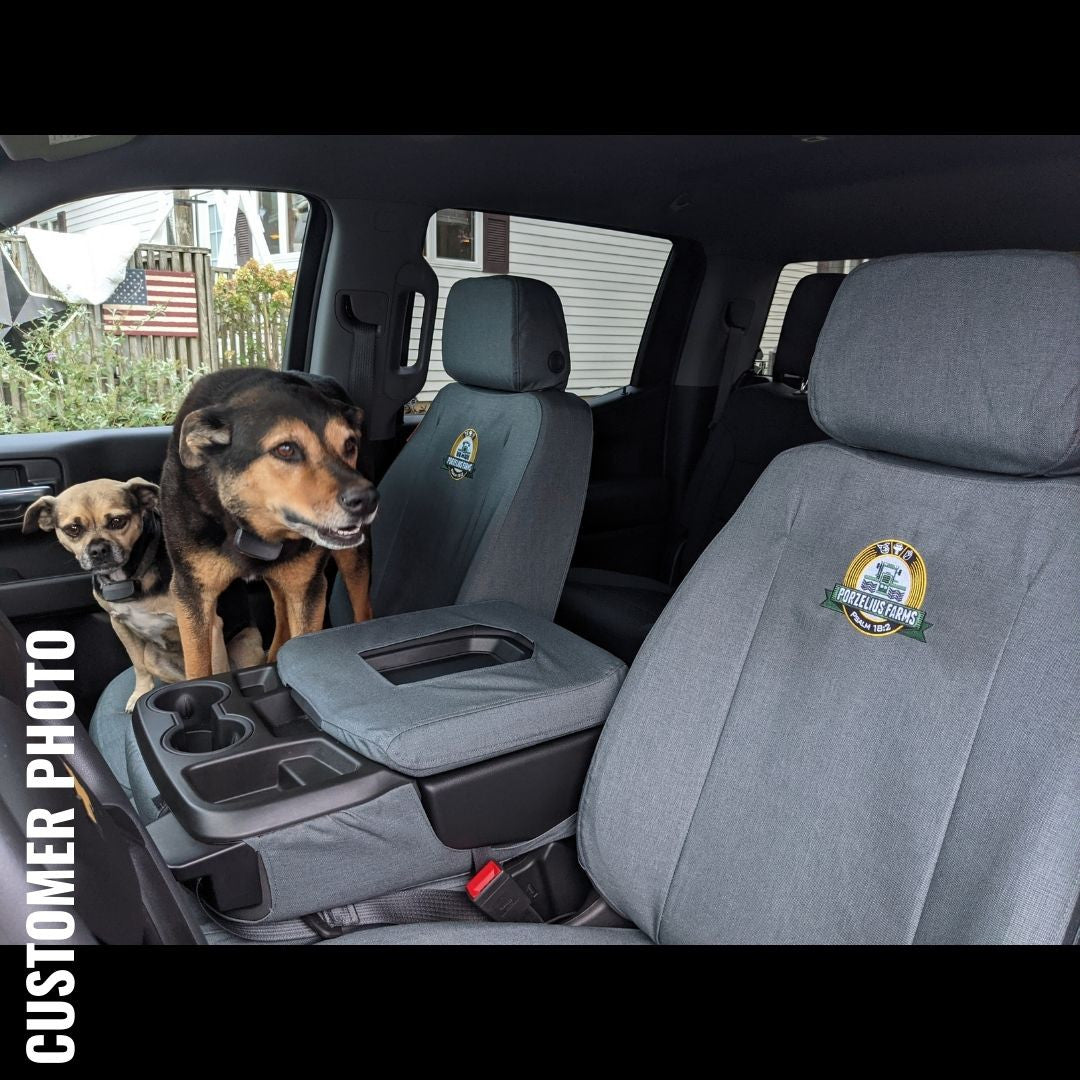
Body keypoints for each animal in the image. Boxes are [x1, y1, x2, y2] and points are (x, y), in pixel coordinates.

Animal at [24, 479, 264, 708]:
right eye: (73, 529)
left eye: (117, 521)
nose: (98, 550)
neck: (131, 576)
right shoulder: (119, 624)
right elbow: (137, 664)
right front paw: (141, 693)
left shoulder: (207, 625)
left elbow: (217, 670)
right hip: (154, 657)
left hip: (247, 645)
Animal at [159, 367, 380, 678]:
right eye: (285, 449)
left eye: (349, 445)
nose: (368, 499)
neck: (248, 527)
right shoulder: (190, 591)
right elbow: (198, 666)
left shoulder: (308, 589)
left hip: (353, 558)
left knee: (362, 607)